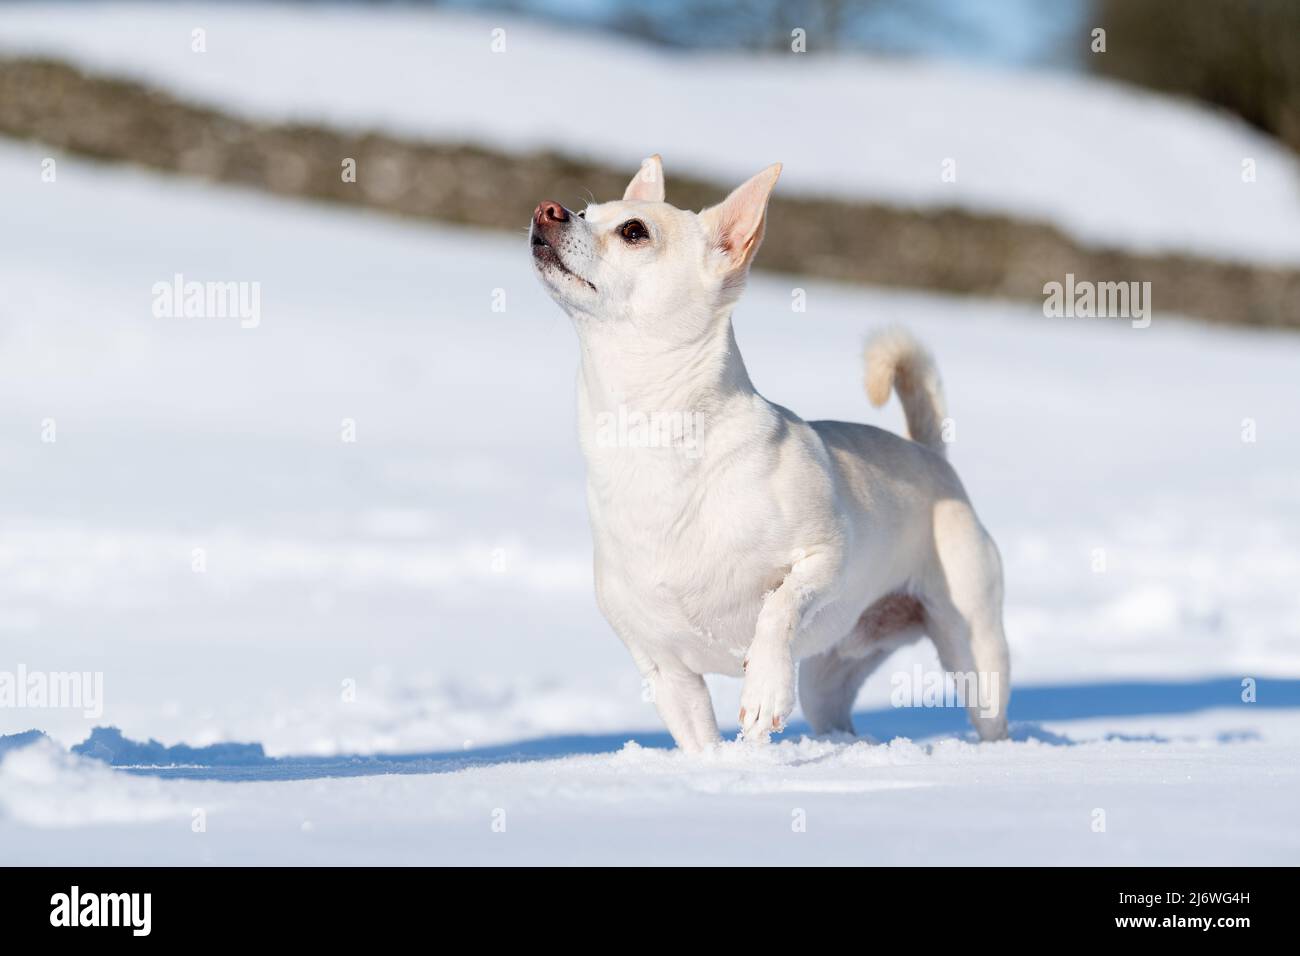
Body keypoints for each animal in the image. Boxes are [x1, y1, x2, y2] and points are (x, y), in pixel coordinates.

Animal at [525, 157, 1003, 749]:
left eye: (634, 231)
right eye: (587, 211)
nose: (548, 209)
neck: (652, 439)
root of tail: (929, 454)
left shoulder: (826, 558)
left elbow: (777, 608)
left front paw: (765, 691)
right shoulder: (665, 670)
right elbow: (700, 742)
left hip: (974, 650)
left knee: (990, 714)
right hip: (830, 675)